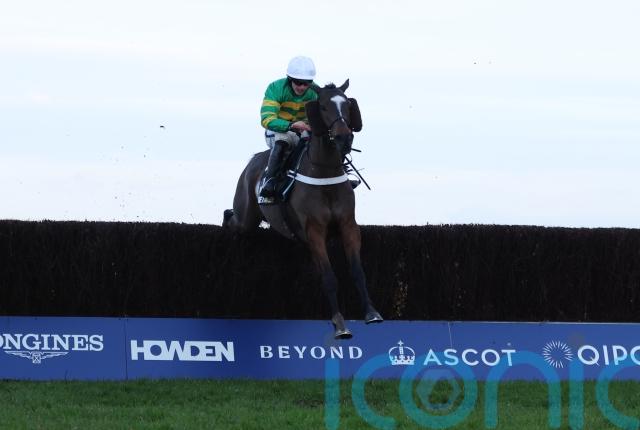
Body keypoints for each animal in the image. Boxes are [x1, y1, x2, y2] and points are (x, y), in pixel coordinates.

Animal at [222, 79, 383, 339]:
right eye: (324, 106)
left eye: (348, 105)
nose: (344, 138)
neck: (324, 172)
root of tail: (253, 161)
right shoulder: (314, 231)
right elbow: (329, 277)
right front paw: (340, 324)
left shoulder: (349, 225)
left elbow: (358, 271)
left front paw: (371, 313)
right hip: (246, 216)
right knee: (230, 217)